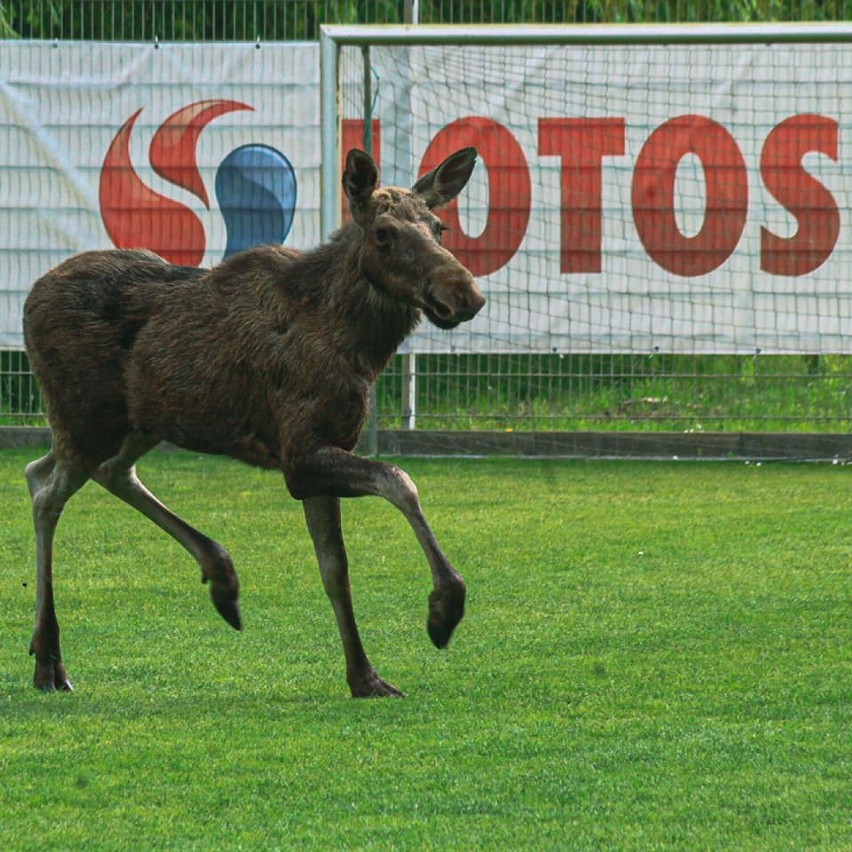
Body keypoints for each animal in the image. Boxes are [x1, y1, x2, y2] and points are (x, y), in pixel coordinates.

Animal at [23, 146, 482, 700]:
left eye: (439, 227)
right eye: (383, 233)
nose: (464, 294)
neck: (359, 348)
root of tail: (30, 294)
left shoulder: (323, 452)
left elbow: (335, 569)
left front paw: (364, 675)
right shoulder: (300, 457)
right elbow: (400, 481)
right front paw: (443, 610)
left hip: (140, 423)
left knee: (74, 471)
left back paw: (220, 576)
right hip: (85, 420)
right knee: (48, 495)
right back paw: (49, 658)